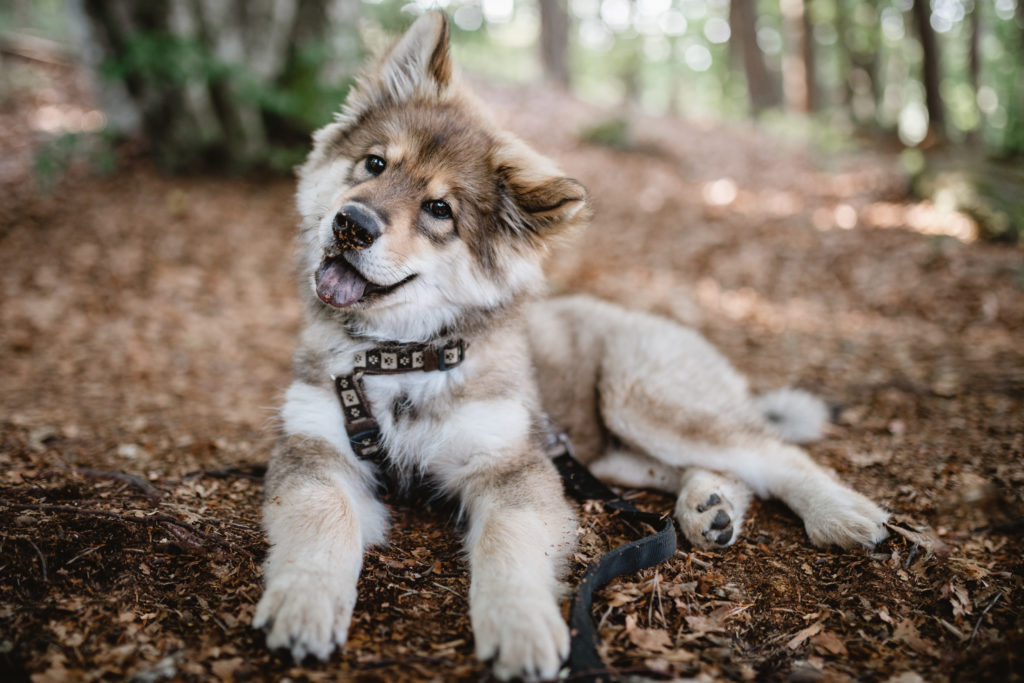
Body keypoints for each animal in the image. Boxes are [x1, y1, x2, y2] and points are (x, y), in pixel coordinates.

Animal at [253, 13, 888, 679]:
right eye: (374, 163)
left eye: (439, 209)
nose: (351, 224)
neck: (403, 358)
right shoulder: (317, 450)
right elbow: (322, 518)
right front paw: (303, 601)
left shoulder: (513, 466)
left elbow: (507, 542)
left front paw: (521, 625)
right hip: (606, 449)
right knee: (712, 468)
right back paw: (710, 506)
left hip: (637, 397)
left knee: (771, 453)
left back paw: (839, 513)